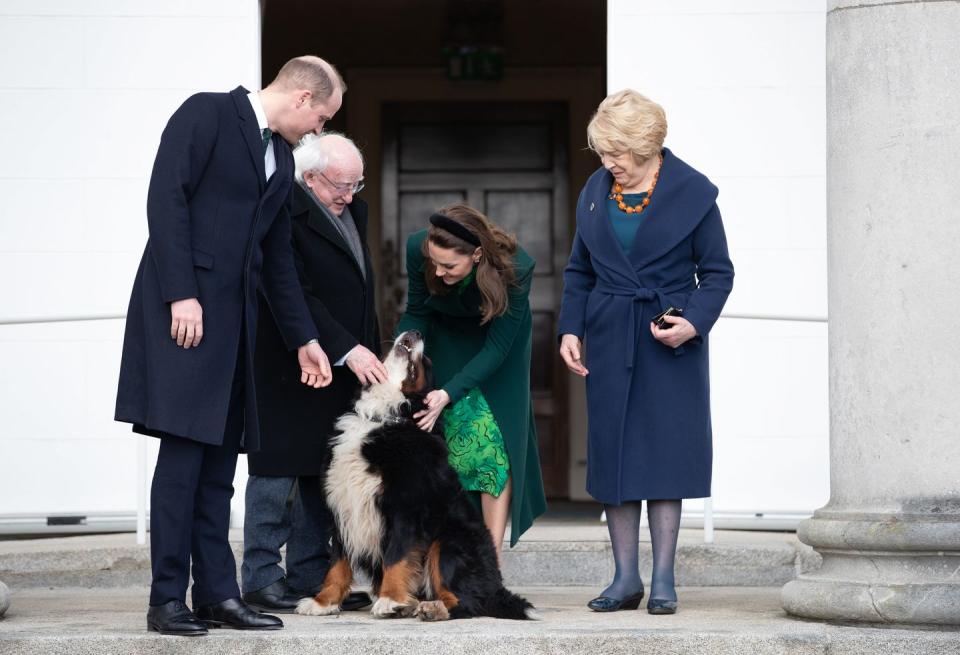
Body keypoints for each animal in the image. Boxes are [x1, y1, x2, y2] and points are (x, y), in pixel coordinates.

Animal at [296, 330, 536, 624]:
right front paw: (323, 602)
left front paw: (389, 599)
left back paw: (432, 608)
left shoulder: (405, 508)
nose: (417, 332)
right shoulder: (343, 507)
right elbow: (337, 565)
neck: (382, 417)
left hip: (449, 542)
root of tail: (496, 586)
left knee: (467, 603)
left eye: (426, 363)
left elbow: (396, 557)